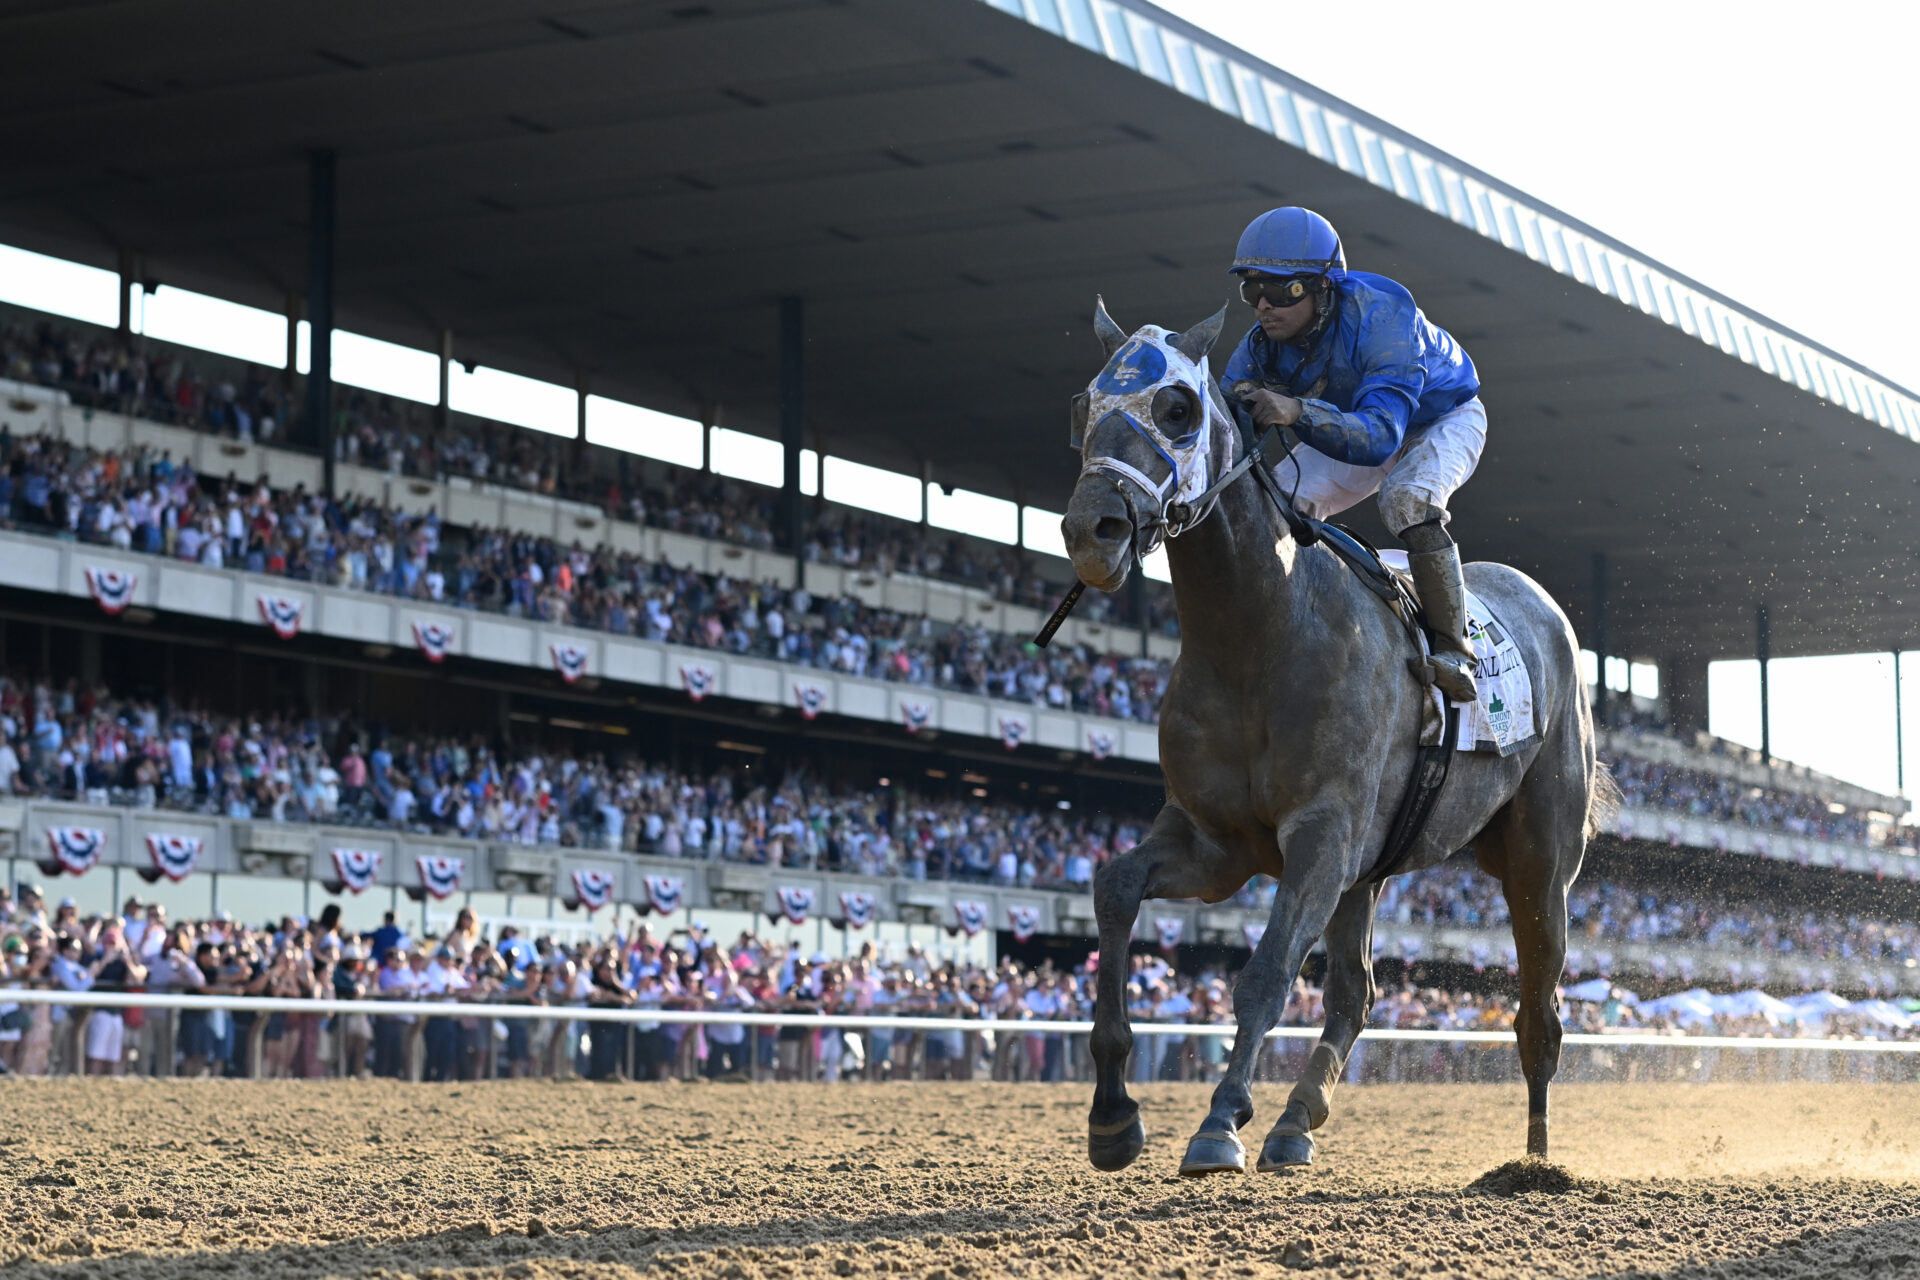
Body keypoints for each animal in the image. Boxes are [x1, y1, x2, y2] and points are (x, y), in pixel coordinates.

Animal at [1067, 295, 1605, 1174]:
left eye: (1177, 409)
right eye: (1083, 407)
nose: (1092, 530)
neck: (1257, 632)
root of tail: (1544, 606)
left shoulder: (1322, 833)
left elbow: (1267, 971)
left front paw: (1219, 1123)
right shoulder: (1218, 842)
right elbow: (1115, 888)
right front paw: (1114, 1116)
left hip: (1541, 862)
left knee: (1540, 1011)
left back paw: (1533, 1161)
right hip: (1372, 868)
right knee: (1358, 990)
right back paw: (1296, 1120)